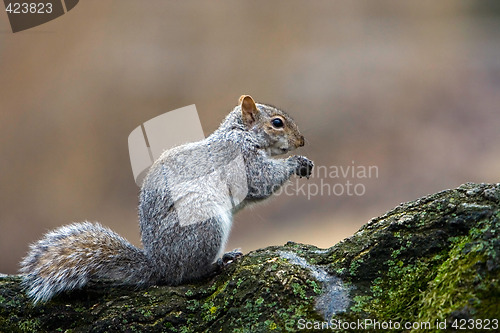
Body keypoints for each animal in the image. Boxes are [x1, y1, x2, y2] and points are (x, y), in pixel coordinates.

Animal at [22, 94, 316, 302]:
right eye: (276, 123)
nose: (302, 141)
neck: (241, 135)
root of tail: (160, 266)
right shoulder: (242, 161)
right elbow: (261, 182)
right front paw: (296, 162)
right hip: (204, 226)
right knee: (185, 275)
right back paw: (217, 264)